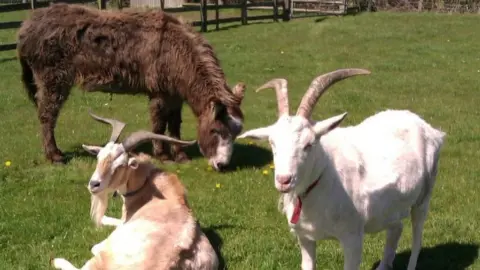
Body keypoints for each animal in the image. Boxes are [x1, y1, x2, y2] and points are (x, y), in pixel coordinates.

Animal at [51, 112, 219, 270]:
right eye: (99, 157)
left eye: (120, 165)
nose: (94, 184)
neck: (148, 188)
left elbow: (96, 245)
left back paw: (57, 260)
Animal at [239, 69, 446, 270]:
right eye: (272, 143)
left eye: (309, 144)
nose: (284, 180)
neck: (325, 177)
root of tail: (429, 128)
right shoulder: (304, 237)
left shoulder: (352, 236)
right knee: (396, 227)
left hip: (424, 196)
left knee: (417, 236)